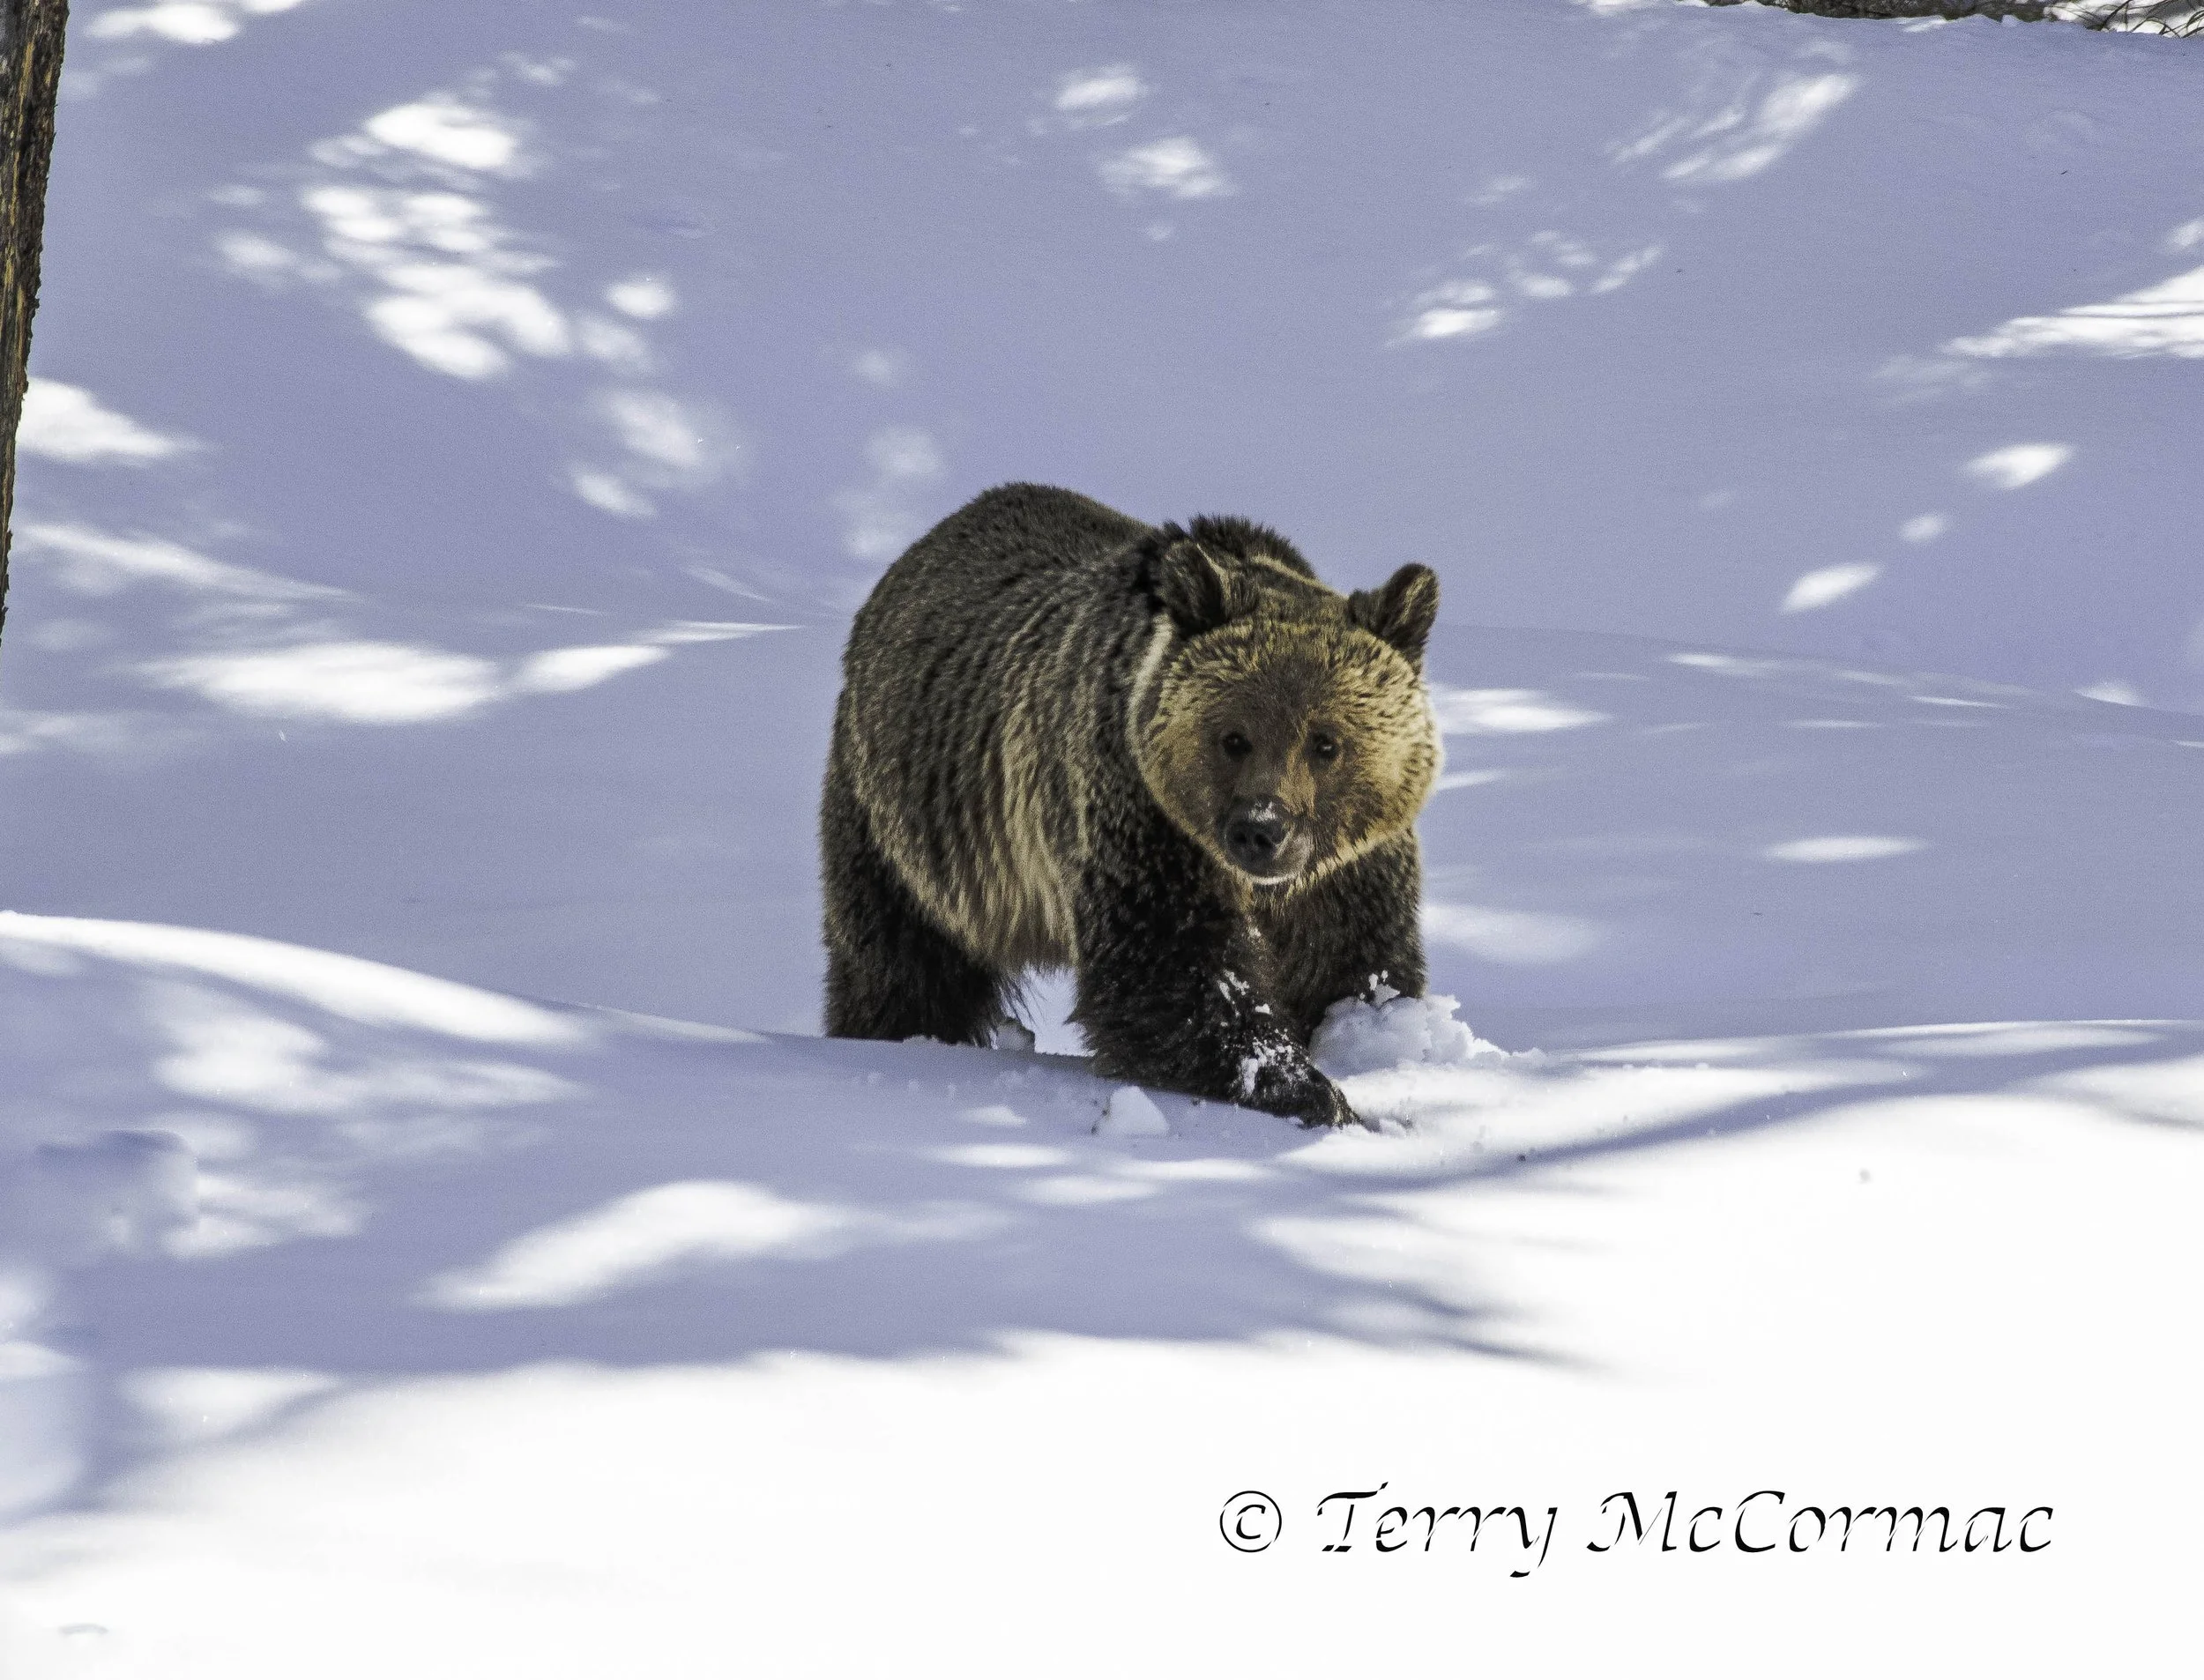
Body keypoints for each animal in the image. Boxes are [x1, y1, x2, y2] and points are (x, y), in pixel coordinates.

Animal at [819, 482, 1441, 1128]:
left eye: (1325, 743)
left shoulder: (1347, 870)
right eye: (1234, 738)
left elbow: (1354, 962)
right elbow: (1170, 973)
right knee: (900, 962)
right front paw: (1305, 1087)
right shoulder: (1139, 819)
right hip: (906, 826)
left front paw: (1366, 1042)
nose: (1260, 830)